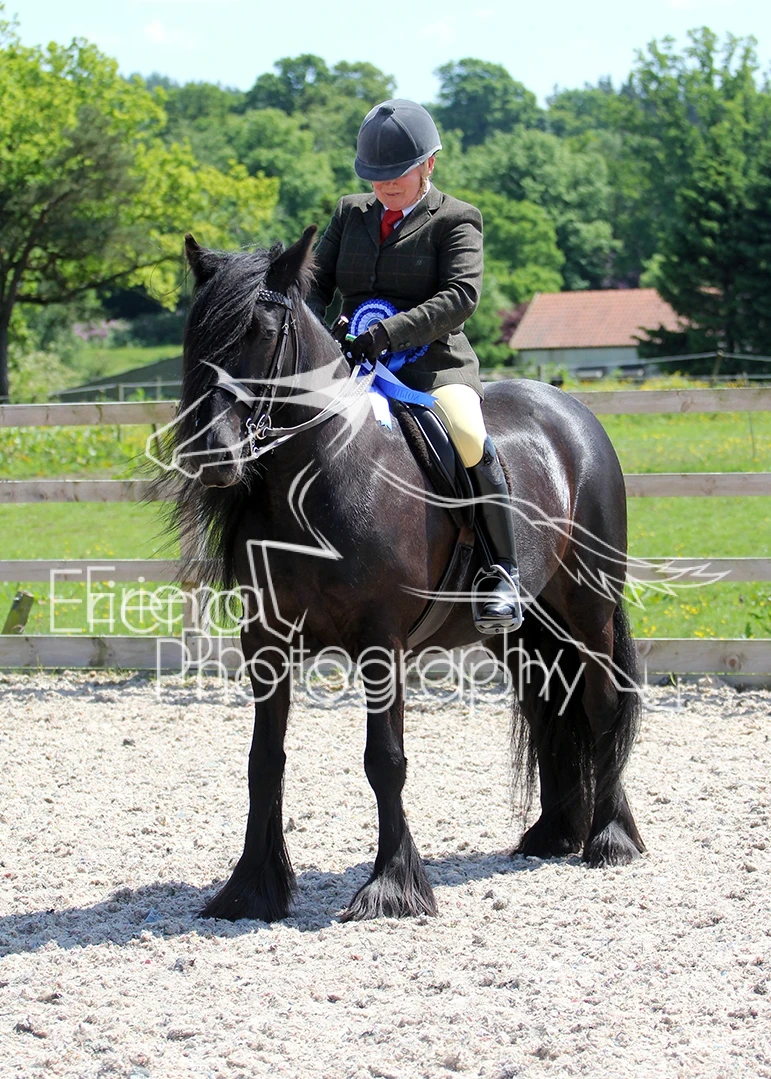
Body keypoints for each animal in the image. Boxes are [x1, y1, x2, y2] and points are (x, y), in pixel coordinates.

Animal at [154, 225, 645, 923]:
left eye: (262, 331)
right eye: (195, 334)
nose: (214, 455)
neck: (319, 477)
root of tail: (572, 414)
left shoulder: (380, 643)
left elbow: (384, 759)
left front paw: (392, 886)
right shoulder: (265, 645)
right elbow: (263, 760)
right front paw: (252, 887)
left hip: (588, 607)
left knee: (602, 703)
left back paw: (609, 837)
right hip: (522, 628)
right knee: (548, 702)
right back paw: (554, 834)